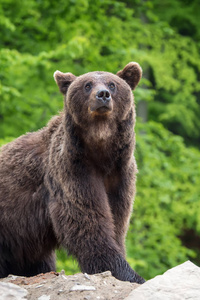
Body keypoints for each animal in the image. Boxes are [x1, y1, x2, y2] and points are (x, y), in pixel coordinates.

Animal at [0, 62, 145, 282]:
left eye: (112, 84)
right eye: (87, 85)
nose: (102, 95)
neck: (101, 154)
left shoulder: (120, 175)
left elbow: (117, 221)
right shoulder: (72, 170)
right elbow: (87, 220)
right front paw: (128, 273)